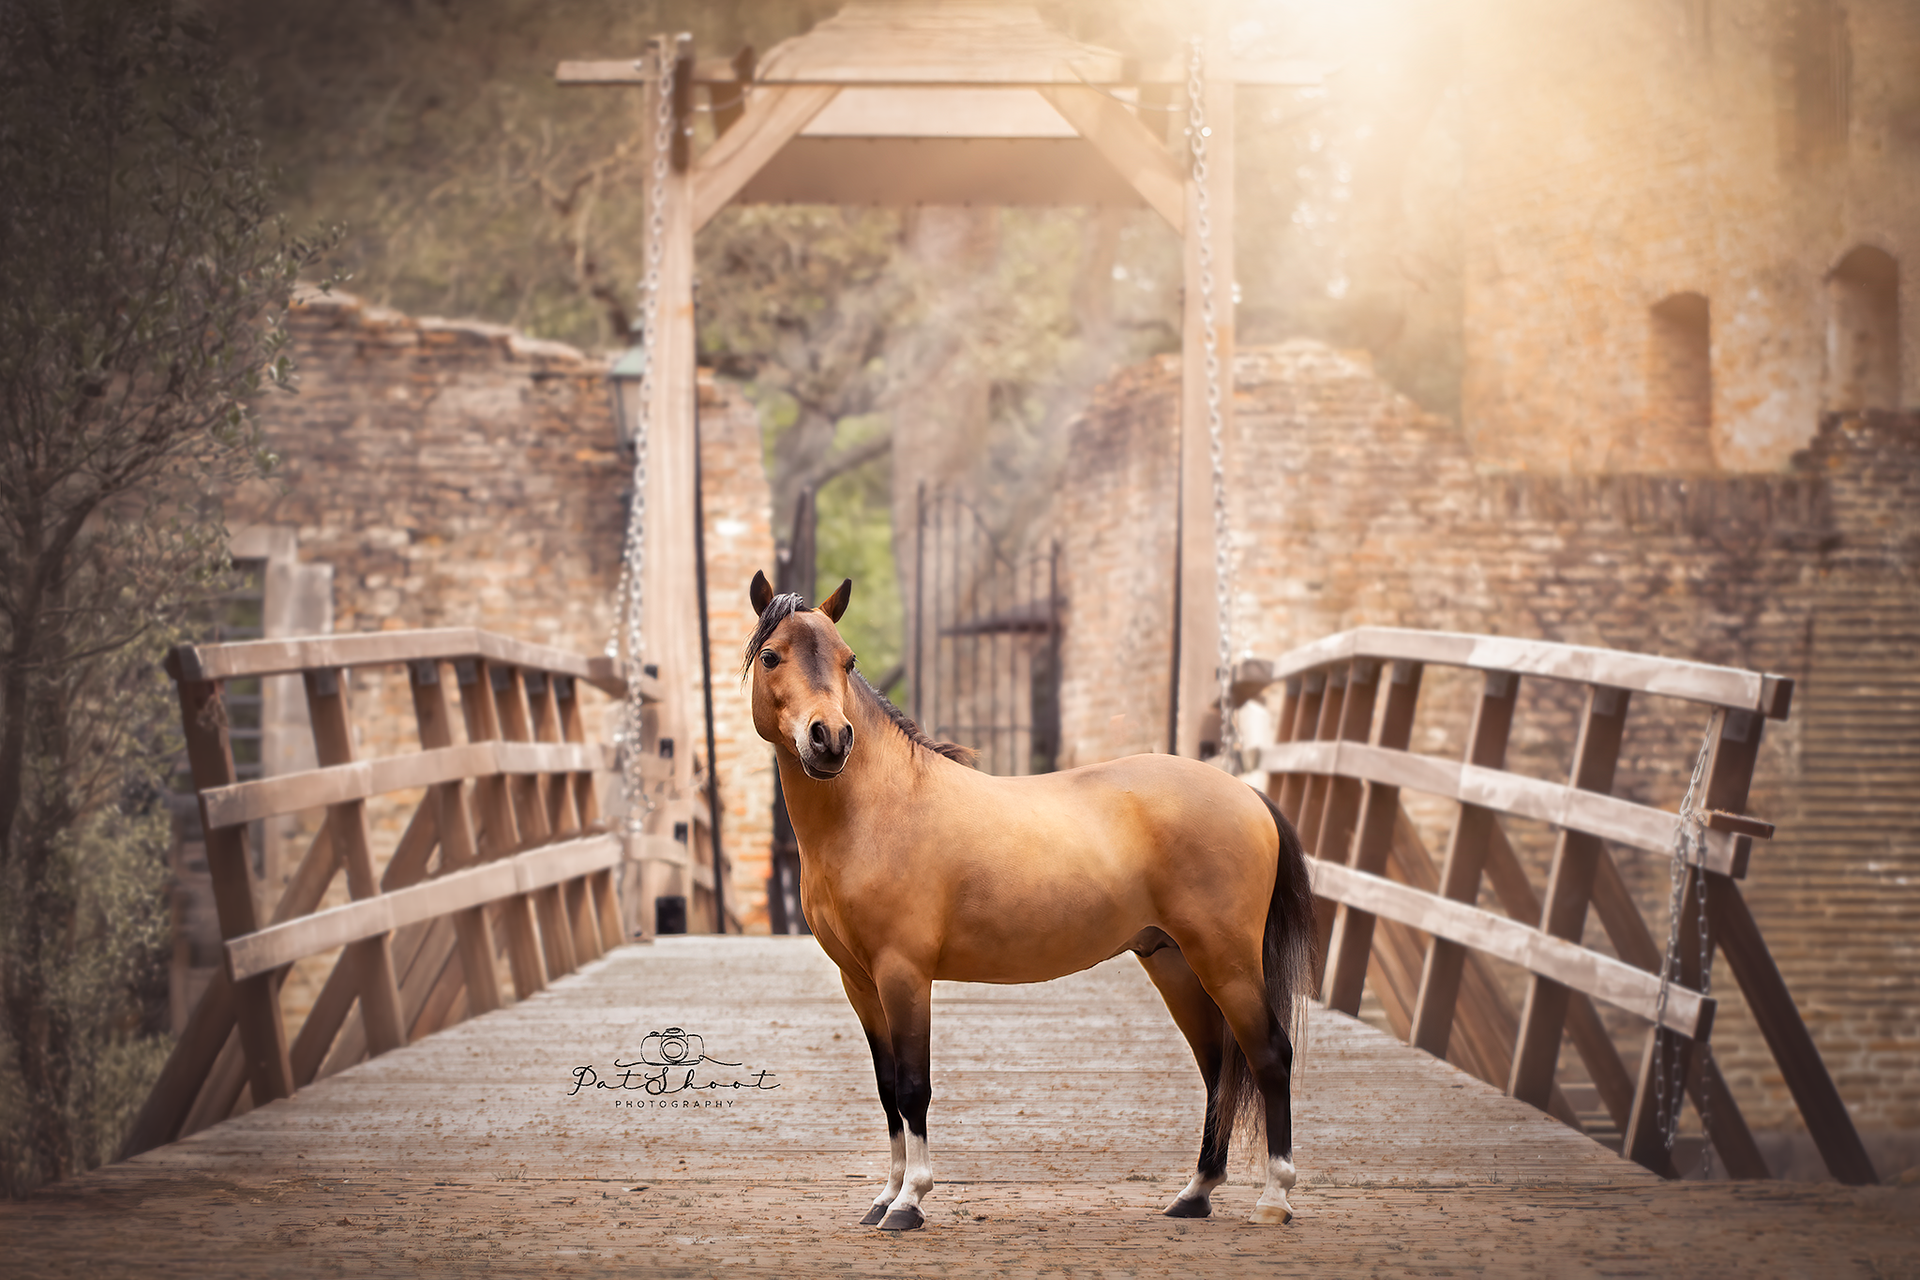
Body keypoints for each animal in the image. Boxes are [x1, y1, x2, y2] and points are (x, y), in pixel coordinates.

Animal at [743, 570, 1315, 1231]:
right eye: (771, 656)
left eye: (847, 659)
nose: (830, 739)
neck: (876, 810)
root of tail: (1248, 795)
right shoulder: (859, 981)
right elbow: (888, 1089)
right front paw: (884, 1197)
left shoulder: (903, 973)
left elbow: (914, 1086)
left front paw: (910, 1201)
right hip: (1174, 962)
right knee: (1218, 1066)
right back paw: (1195, 1193)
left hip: (1226, 960)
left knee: (1269, 1055)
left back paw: (1275, 1198)